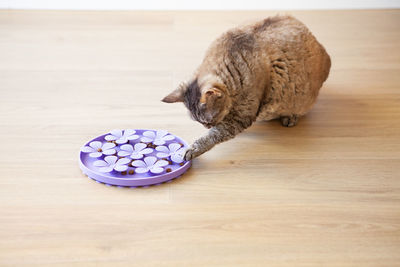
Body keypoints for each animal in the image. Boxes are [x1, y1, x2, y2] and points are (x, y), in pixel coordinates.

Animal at [161, 15, 330, 161]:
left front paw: (192, 148)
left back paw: (290, 117)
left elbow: (211, 137)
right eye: (199, 122)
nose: (207, 126)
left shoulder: (239, 119)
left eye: (208, 121)